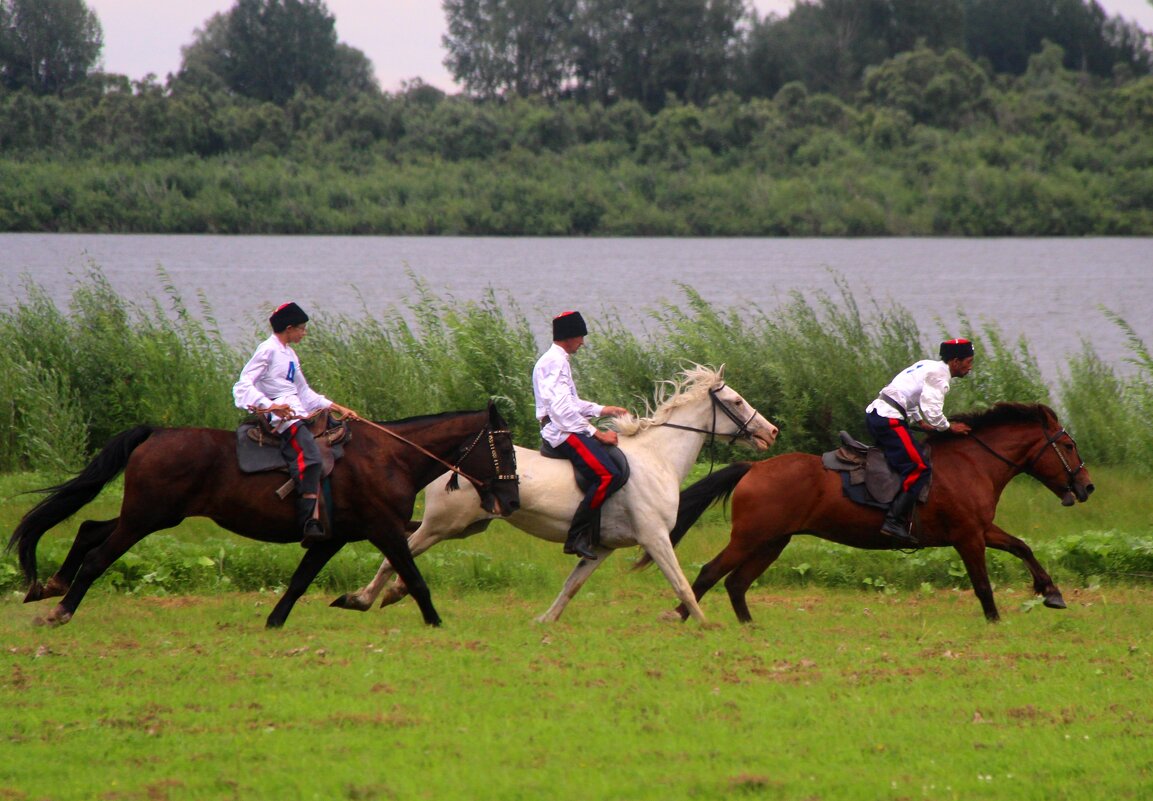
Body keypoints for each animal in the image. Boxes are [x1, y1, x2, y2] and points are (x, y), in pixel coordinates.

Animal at [6, 403, 521, 631]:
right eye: (503, 446)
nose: (512, 499)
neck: (389, 458)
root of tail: (157, 433)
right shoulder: (384, 530)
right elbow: (414, 578)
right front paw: (434, 622)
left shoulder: (332, 537)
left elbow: (298, 581)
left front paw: (275, 621)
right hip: (146, 517)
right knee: (98, 556)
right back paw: (60, 609)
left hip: (147, 515)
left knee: (89, 529)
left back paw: (50, 585)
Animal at [329, 366, 779, 622]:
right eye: (737, 401)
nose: (771, 432)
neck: (657, 459)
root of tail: (450, 464)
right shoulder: (654, 538)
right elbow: (682, 583)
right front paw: (703, 626)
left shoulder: (601, 548)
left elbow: (571, 587)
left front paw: (544, 622)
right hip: (444, 525)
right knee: (397, 552)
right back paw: (362, 598)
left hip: (466, 527)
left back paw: (389, 594)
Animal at [664, 403, 1093, 622]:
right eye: (1069, 446)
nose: (1087, 487)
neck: (974, 463)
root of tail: (754, 467)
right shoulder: (968, 536)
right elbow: (982, 583)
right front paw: (995, 619)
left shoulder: (982, 529)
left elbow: (1022, 547)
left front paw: (1052, 593)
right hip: (750, 537)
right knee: (710, 572)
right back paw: (682, 616)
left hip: (773, 541)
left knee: (737, 583)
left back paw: (749, 626)